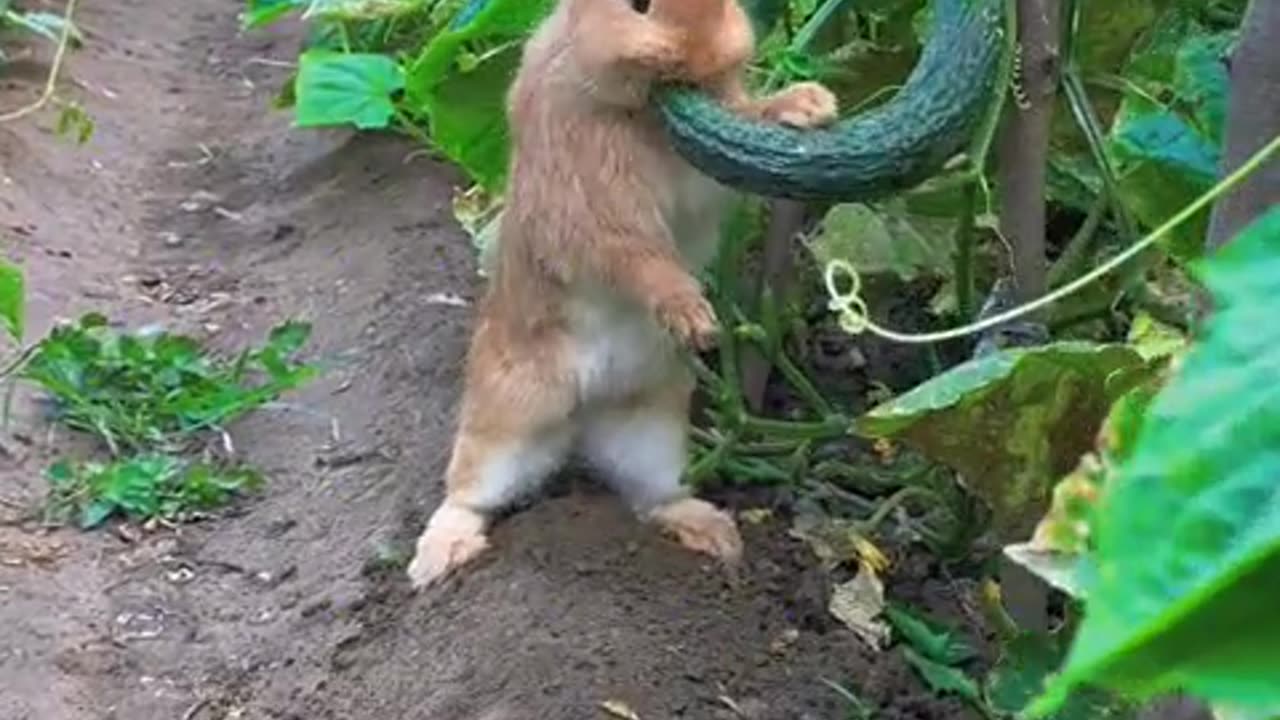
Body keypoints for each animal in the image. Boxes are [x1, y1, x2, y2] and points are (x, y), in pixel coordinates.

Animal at [404, 0, 834, 586]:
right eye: (639, 7)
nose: (707, 55)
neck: (637, 112)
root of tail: (583, 415)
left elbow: (747, 122)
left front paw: (809, 104)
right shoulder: (593, 208)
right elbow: (639, 262)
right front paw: (693, 317)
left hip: (650, 433)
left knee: (652, 497)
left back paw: (712, 533)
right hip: (507, 419)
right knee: (470, 493)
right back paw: (437, 559)